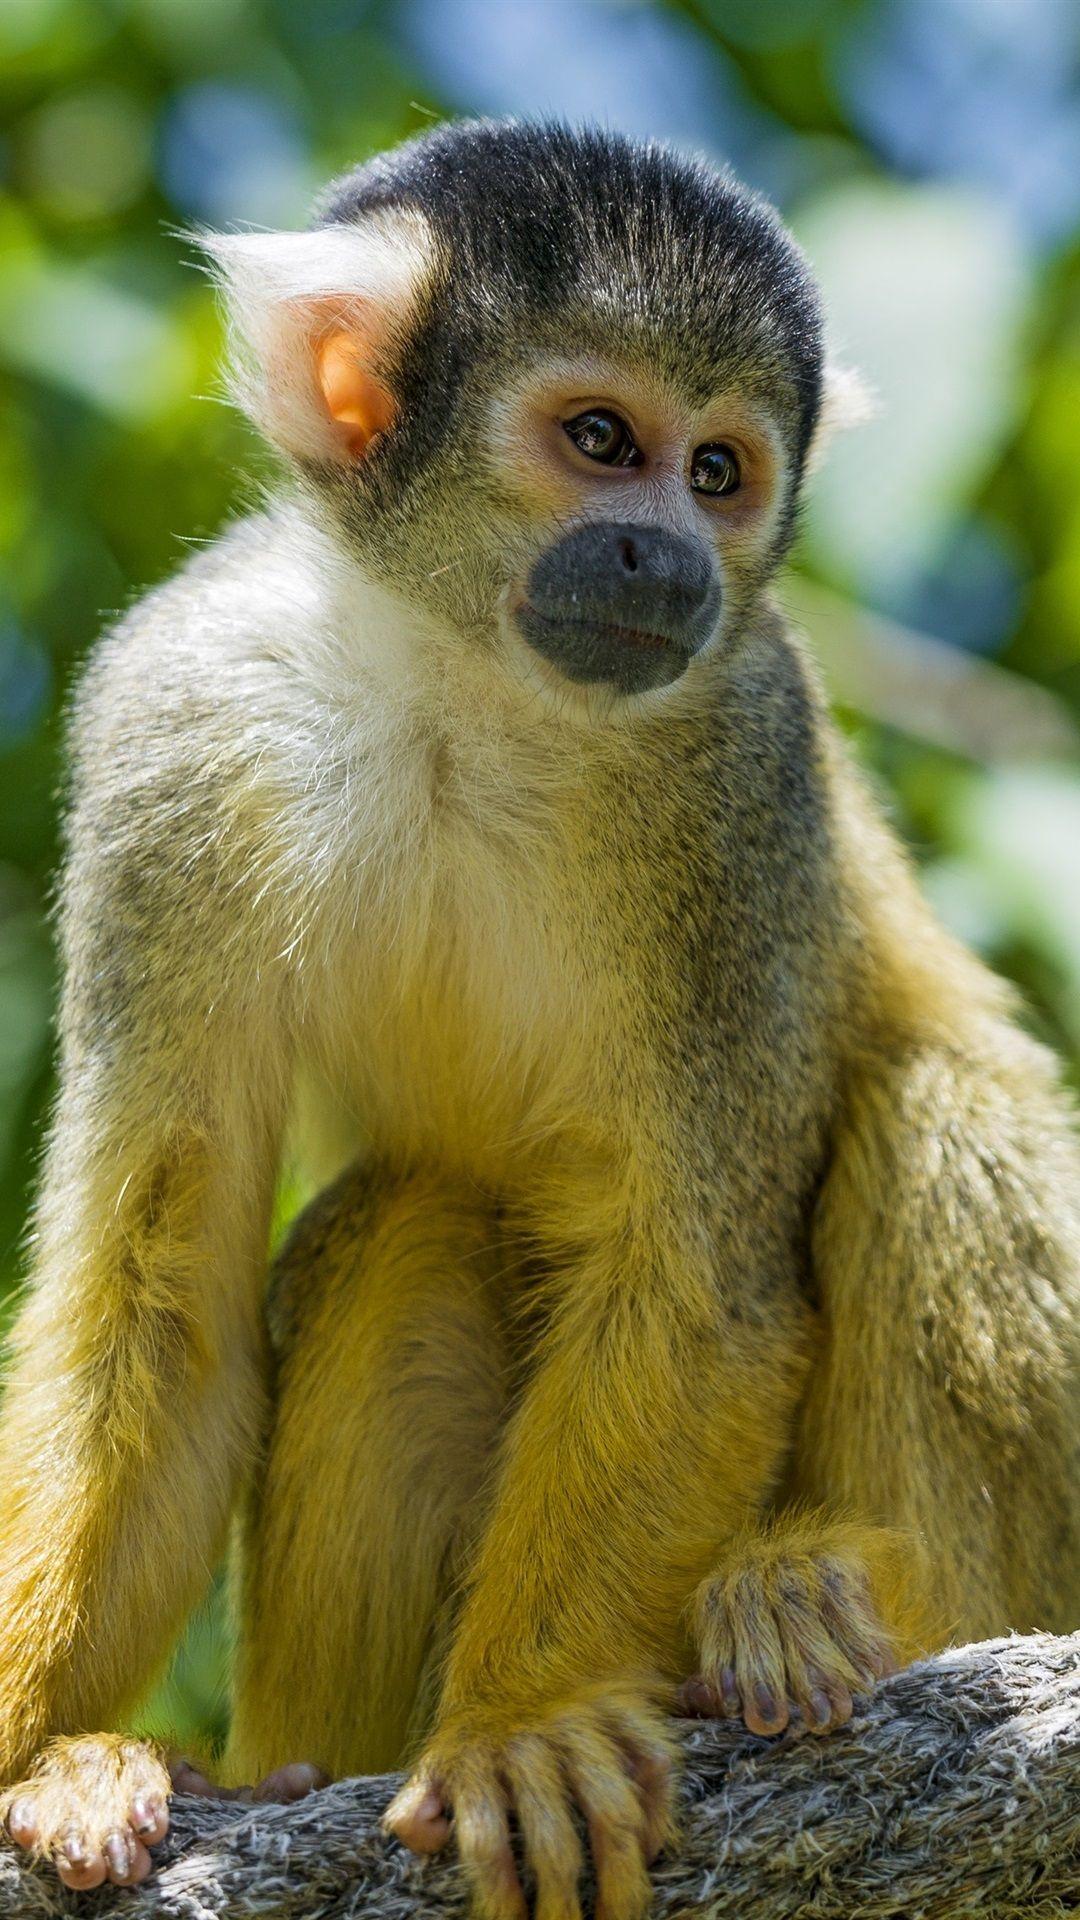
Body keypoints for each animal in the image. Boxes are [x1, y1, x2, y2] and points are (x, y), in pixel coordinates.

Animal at [0, 114, 1077, 1920]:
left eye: (718, 473)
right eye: (599, 441)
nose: (670, 557)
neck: (467, 685)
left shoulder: (743, 763)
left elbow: (697, 1290)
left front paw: (522, 1724)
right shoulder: (173, 724)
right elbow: (163, 1307)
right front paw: (36, 1758)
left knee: (940, 1106)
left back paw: (848, 1609)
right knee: (408, 1223)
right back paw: (275, 1766)